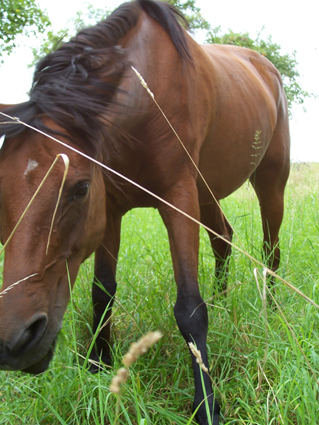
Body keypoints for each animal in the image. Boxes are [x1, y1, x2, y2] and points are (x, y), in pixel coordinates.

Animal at [0, 1, 290, 422]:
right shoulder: (111, 210)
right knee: (223, 240)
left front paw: (207, 405)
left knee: (270, 252)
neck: (144, 94)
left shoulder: (178, 200)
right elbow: (102, 292)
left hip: (270, 182)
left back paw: (270, 309)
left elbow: (189, 309)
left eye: (79, 188)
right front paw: (97, 367)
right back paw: (223, 299)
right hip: (208, 193)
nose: (16, 341)